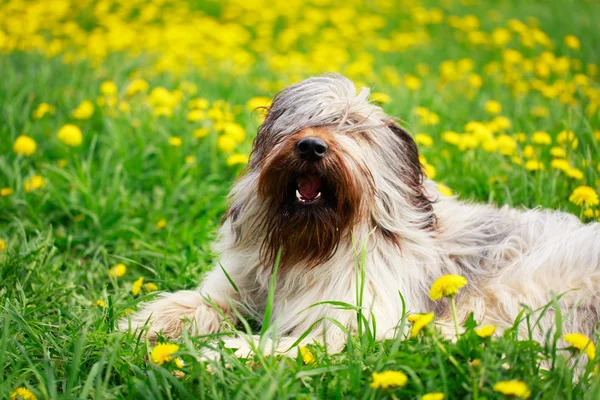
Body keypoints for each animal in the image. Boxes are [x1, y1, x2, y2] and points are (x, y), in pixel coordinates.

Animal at [119, 74, 596, 356]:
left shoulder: (346, 319)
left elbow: (292, 344)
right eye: (303, 123)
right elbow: (195, 303)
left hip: (523, 287)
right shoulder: (239, 285)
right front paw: (141, 324)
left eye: (353, 130)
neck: (310, 245)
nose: (311, 146)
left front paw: (227, 355)